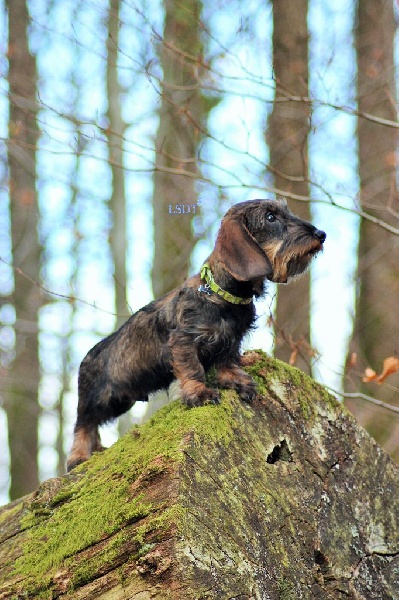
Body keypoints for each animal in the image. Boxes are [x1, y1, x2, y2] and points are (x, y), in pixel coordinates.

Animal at [67, 199, 326, 472]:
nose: (321, 235)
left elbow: (227, 359)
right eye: (270, 217)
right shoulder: (184, 340)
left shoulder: (231, 339)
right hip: (101, 399)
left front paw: (235, 379)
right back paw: (79, 456)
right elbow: (192, 368)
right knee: (83, 424)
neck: (223, 296)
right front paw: (200, 392)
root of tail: (86, 358)